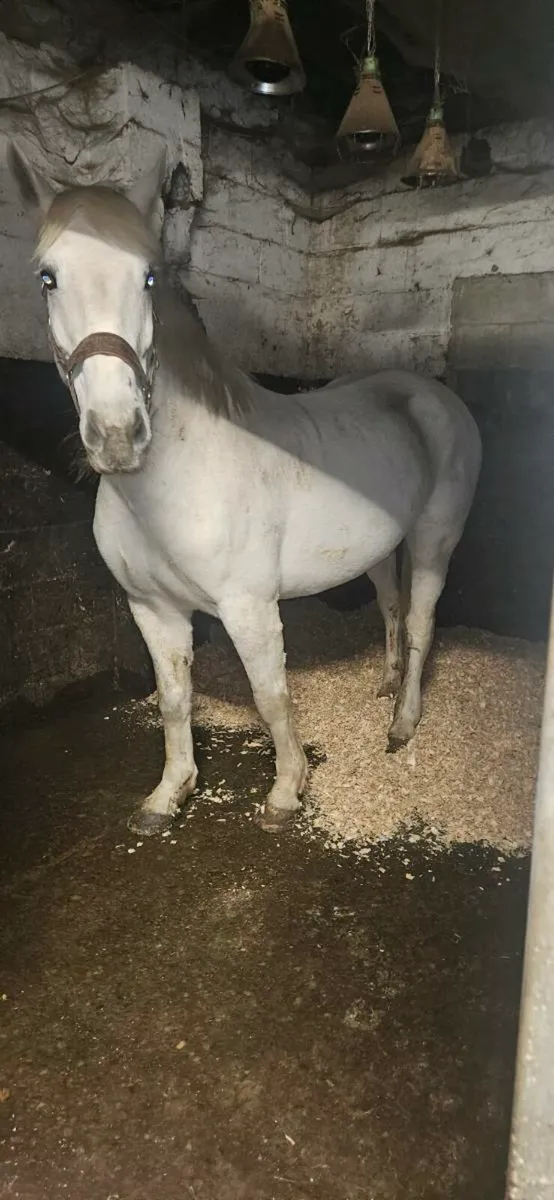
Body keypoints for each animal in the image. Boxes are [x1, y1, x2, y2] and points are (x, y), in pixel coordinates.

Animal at [10, 146, 482, 837]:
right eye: (48, 277)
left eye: (148, 277)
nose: (118, 435)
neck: (173, 484)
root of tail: (433, 396)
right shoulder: (152, 608)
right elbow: (173, 699)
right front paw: (169, 793)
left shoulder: (249, 607)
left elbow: (271, 694)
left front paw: (287, 791)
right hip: (378, 548)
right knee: (391, 608)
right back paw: (385, 684)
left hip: (433, 539)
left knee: (422, 621)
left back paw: (401, 723)